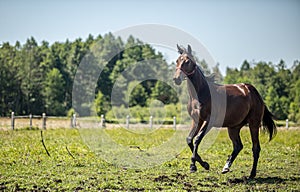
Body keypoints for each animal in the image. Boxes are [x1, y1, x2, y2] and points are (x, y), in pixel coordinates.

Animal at [172, 44, 276, 178]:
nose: (176, 79)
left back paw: (251, 174)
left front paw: (193, 166)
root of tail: (254, 92)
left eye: (187, 61)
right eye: (177, 60)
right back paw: (226, 167)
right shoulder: (197, 121)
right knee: (238, 146)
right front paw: (204, 164)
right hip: (233, 127)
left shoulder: (209, 121)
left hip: (254, 124)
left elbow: (197, 139)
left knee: (255, 148)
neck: (201, 93)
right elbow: (189, 139)